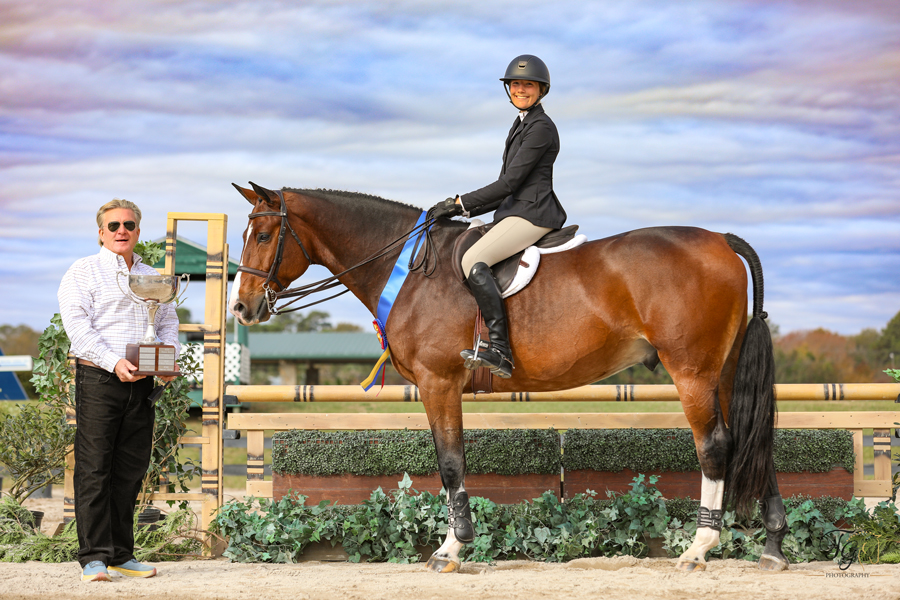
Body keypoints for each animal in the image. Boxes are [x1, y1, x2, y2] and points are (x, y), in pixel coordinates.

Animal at [230, 183, 788, 572]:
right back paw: (774, 547)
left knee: (715, 445)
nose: (242, 308)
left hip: (691, 371)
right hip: (724, 372)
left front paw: (451, 549)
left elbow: (450, 463)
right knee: (750, 438)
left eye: (264, 235)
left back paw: (699, 548)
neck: (406, 269)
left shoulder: (439, 382)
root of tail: (719, 240)